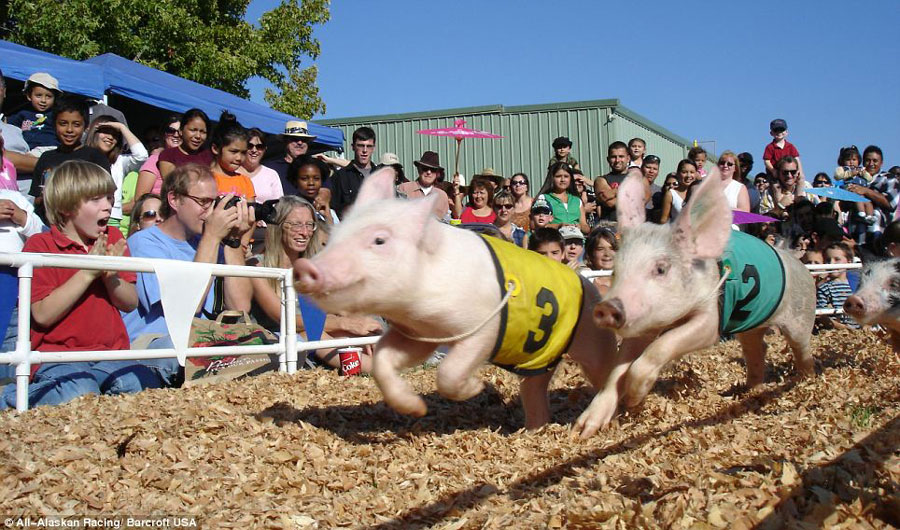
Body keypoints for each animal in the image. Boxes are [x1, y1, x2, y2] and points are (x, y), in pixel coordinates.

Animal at [294, 168, 620, 434]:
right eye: (337, 233)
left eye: (379, 240)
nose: (304, 268)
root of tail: (588, 283)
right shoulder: (419, 333)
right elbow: (383, 361)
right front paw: (417, 409)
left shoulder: (485, 328)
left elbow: (449, 372)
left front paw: (479, 387)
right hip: (538, 361)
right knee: (535, 388)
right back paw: (531, 431)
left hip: (592, 341)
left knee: (606, 372)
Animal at [588, 169, 820, 434]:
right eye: (615, 271)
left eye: (660, 269)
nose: (606, 307)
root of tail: (796, 261)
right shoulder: (644, 323)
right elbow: (617, 369)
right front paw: (584, 428)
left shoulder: (711, 317)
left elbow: (663, 345)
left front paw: (634, 398)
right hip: (750, 325)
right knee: (757, 347)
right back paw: (745, 391)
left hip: (802, 316)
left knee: (802, 349)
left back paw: (805, 381)